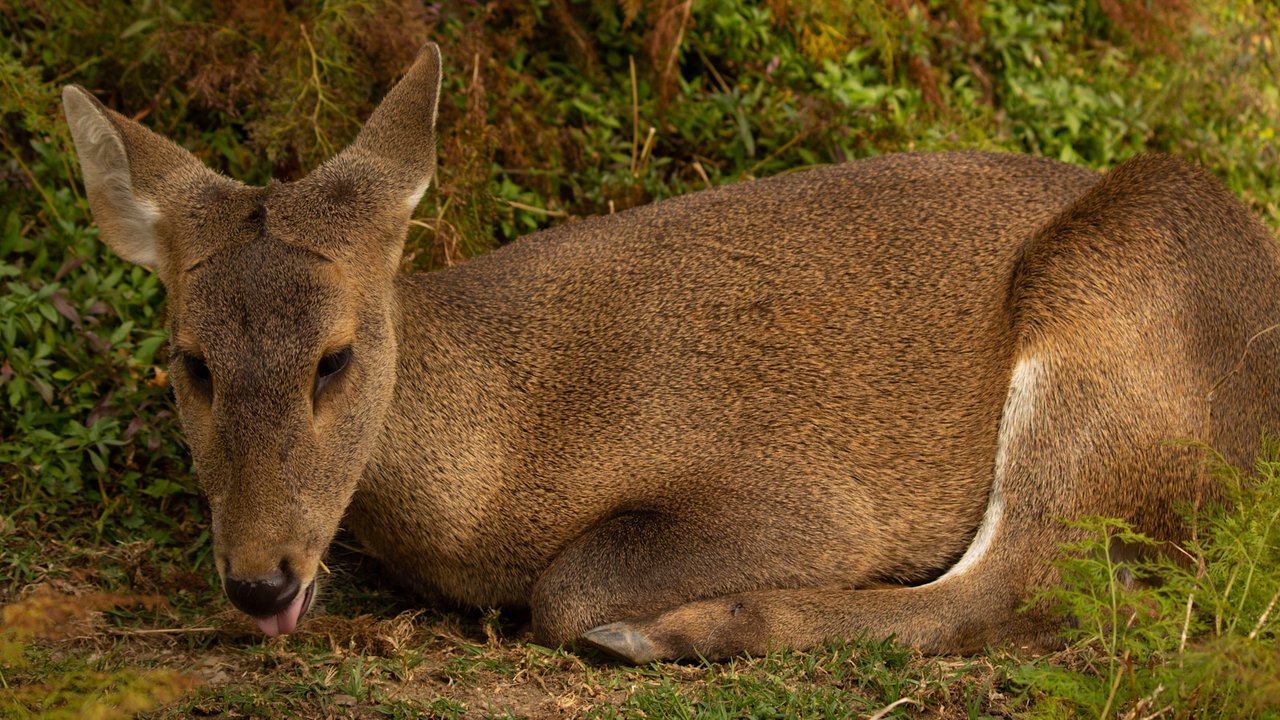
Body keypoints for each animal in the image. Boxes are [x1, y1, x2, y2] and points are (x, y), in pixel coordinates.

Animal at [62, 44, 1280, 661]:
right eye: (191, 361)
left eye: (335, 357)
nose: (260, 580)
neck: (499, 451)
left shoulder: (804, 493)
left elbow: (565, 583)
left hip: (1119, 277)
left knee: (1024, 578)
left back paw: (677, 632)